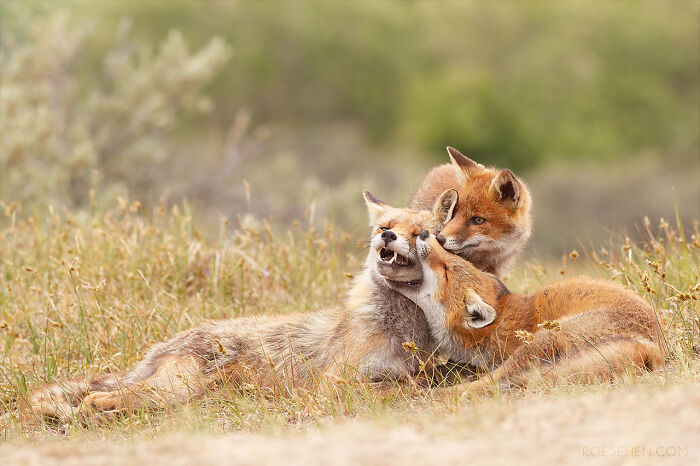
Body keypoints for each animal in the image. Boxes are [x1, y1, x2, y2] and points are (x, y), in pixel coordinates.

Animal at [23, 192, 463, 422]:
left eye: (421, 233)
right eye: (385, 226)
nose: (386, 237)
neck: (399, 328)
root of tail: (162, 347)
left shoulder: (410, 369)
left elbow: (418, 382)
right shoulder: (334, 384)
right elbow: (397, 390)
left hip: (185, 391)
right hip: (176, 390)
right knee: (99, 399)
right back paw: (97, 413)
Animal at [387, 225, 665, 395]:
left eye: (447, 270)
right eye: (452, 260)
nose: (425, 233)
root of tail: (652, 346)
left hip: (539, 342)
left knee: (489, 384)